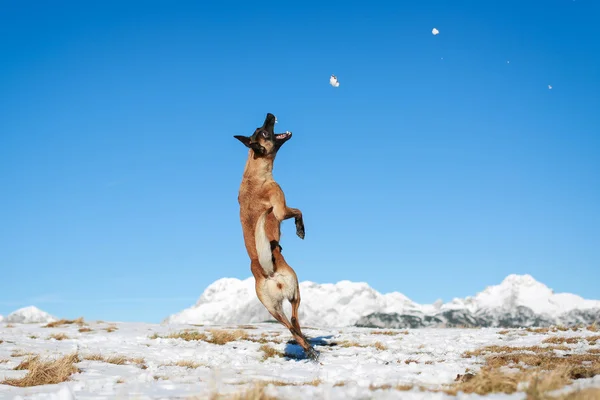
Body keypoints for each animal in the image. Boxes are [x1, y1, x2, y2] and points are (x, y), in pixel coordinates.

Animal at [234, 111, 318, 360]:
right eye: (264, 131)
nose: (269, 114)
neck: (254, 170)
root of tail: (267, 271)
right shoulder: (280, 207)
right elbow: (298, 210)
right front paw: (300, 230)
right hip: (296, 290)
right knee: (294, 319)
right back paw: (311, 348)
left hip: (272, 309)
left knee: (291, 327)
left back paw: (308, 348)